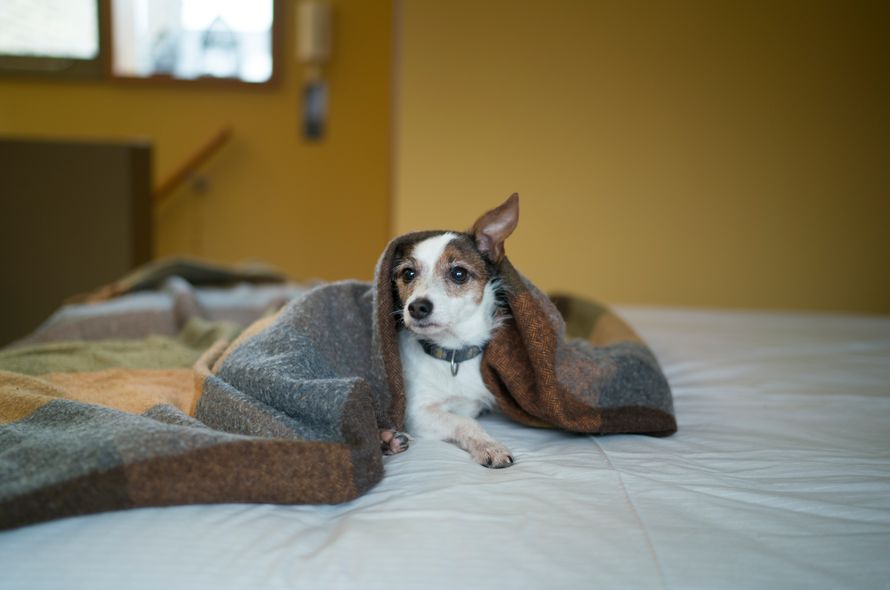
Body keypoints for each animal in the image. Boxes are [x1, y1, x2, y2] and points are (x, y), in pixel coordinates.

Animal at [378, 197, 516, 470]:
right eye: (408, 274)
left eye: (458, 273)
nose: (417, 307)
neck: (452, 352)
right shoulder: (417, 412)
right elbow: (465, 422)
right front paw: (489, 446)